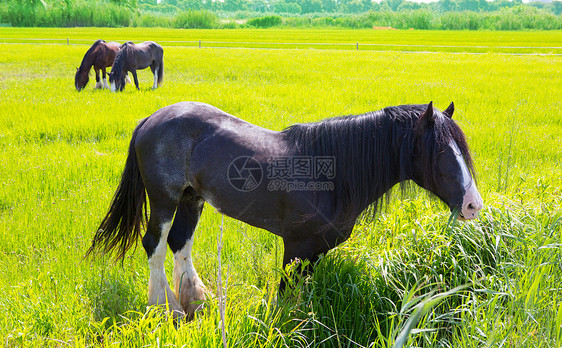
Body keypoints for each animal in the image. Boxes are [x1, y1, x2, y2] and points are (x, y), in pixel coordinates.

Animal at [86, 100, 482, 318]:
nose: (472, 206)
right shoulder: (296, 247)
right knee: (154, 245)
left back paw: (196, 303)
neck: (332, 175)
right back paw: (164, 308)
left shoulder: (314, 252)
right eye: (440, 152)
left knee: (179, 243)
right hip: (165, 199)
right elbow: (285, 299)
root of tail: (151, 119)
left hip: (191, 198)